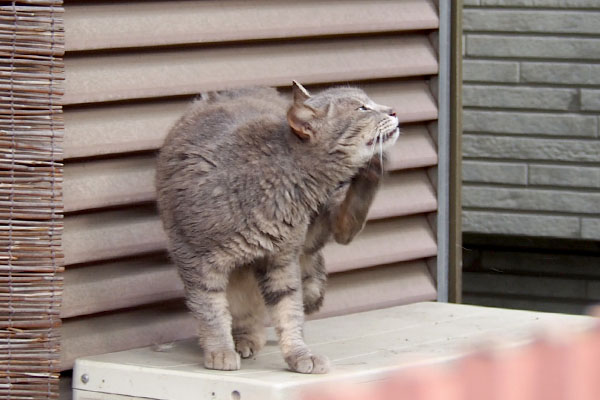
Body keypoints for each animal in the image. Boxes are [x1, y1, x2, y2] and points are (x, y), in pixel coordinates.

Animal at [155, 79, 398, 374]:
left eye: (370, 103)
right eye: (363, 108)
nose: (394, 110)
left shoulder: (282, 259)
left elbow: (289, 310)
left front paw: (299, 354)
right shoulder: (194, 257)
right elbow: (210, 309)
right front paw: (220, 351)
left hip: (313, 238)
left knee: (345, 225)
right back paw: (242, 339)